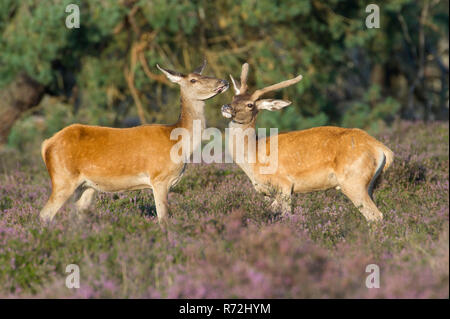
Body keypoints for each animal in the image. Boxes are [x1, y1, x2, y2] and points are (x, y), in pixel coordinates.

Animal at [39, 60, 229, 225]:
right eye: (193, 79)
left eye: (201, 74)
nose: (224, 81)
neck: (177, 143)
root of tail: (46, 144)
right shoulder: (159, 178)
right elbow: (163, 218)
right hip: (63, 179)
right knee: (44, 214)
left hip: (86, 186)